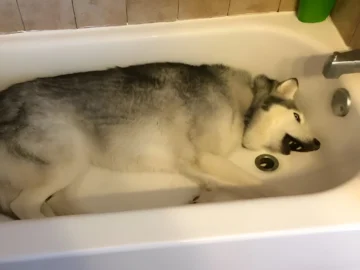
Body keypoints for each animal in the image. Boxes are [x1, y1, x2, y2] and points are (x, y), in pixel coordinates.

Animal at [0, 62, 320, 219]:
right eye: (297, 116)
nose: (317, 144)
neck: (243, 105)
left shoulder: (190, 164)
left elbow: (215, 185)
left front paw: (203, 197)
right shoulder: (205, 157)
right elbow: (259, 185)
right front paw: (283, 197)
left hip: (77, 166)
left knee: (48, 202)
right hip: (69, 161)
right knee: (23, 207)